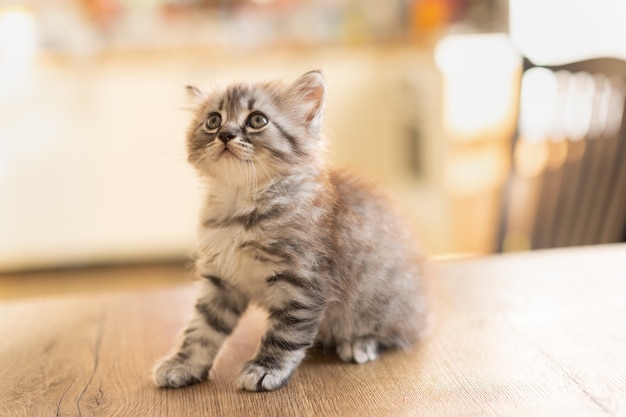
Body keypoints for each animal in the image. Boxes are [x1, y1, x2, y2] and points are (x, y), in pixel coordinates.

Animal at [154, 70, 432, 392]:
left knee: (398, 334)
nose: (225, 134)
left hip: (381, 303)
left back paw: (360, 342)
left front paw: (265, 368)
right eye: (213, 121)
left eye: (257, 120)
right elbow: (201, 329)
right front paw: (183, 365)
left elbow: (285, 333)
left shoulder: (302, 281)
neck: (240, 206)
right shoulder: (220, 280)